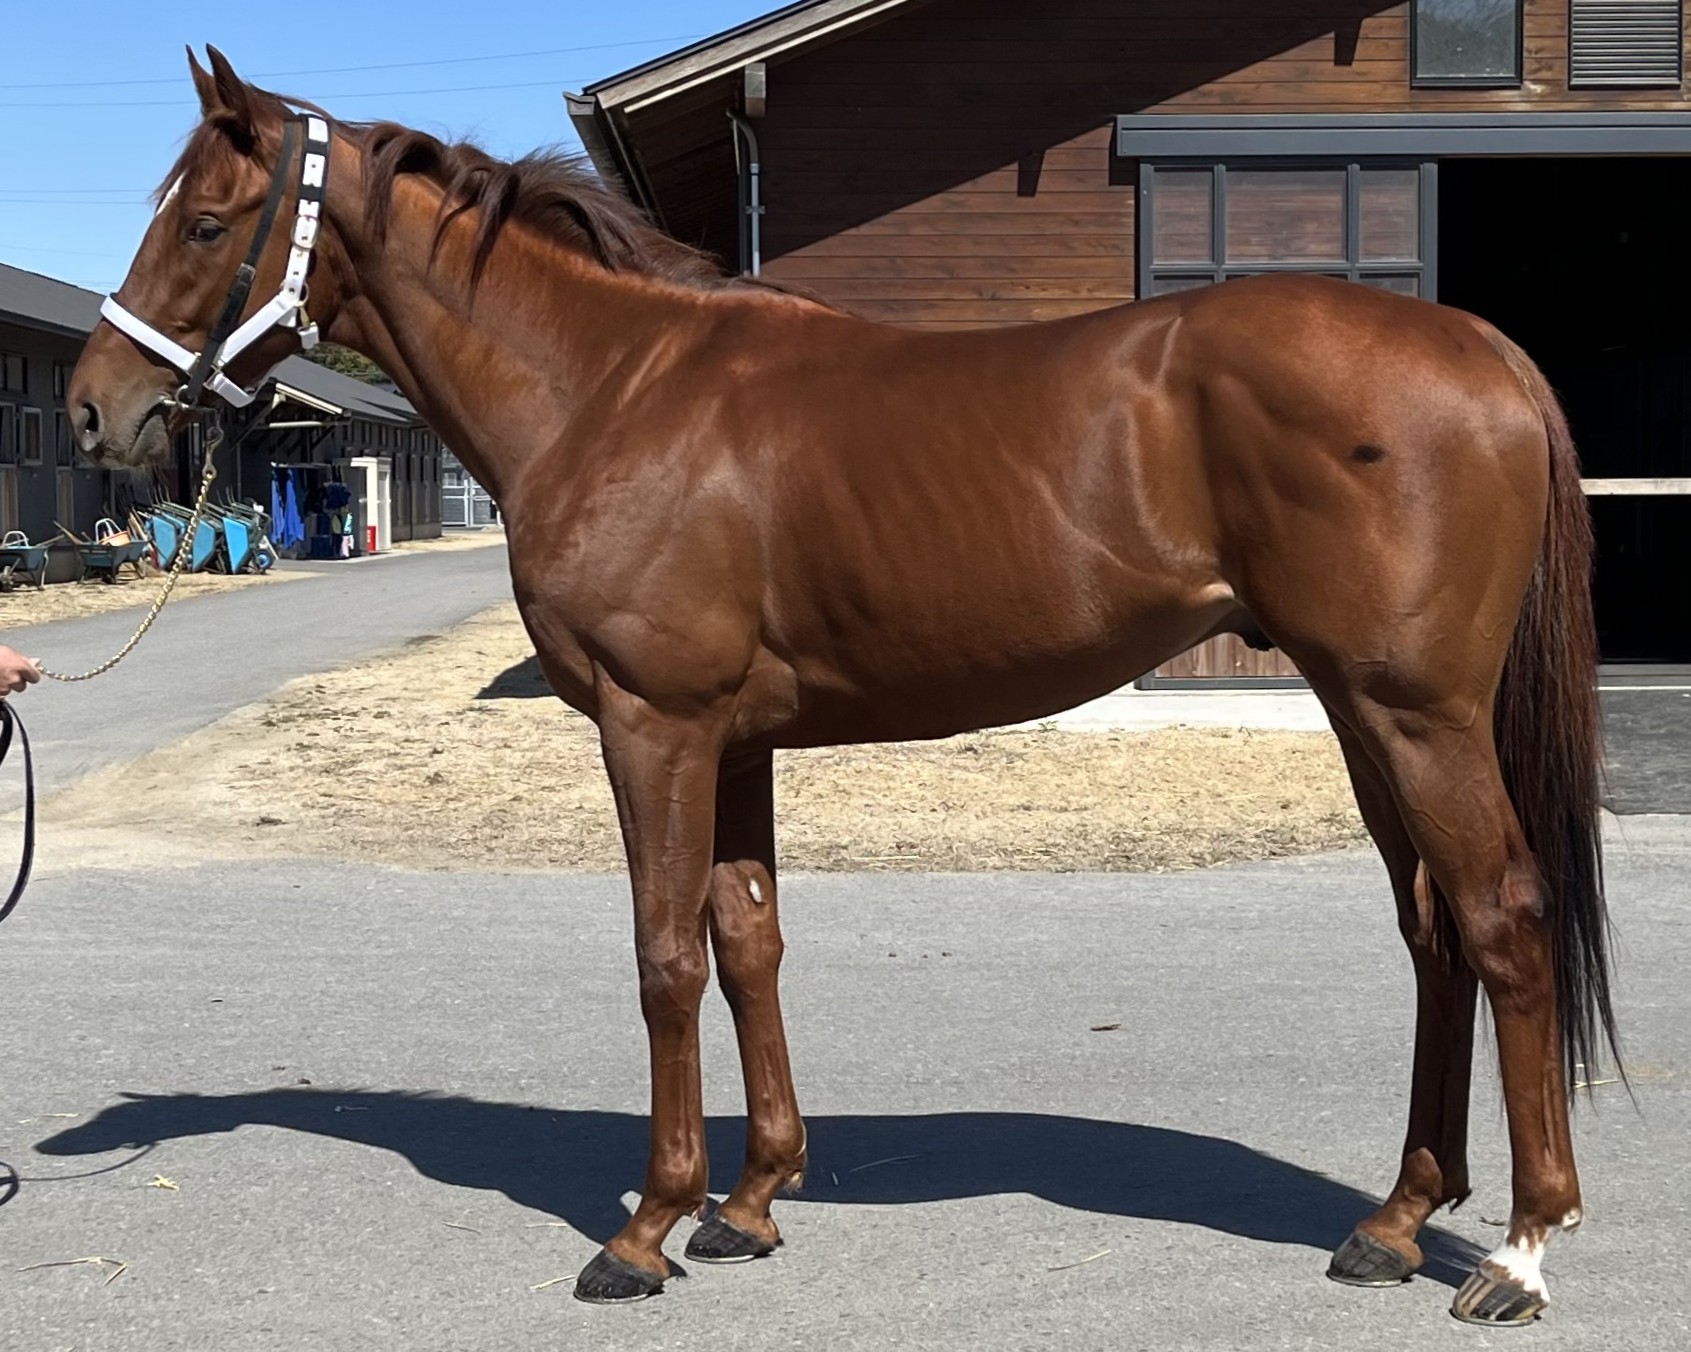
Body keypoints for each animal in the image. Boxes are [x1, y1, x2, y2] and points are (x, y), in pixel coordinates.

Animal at [67, 47, 1618, 1326]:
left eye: (204, 223)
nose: (94, 411)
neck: (612, 388)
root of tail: (1476, 348)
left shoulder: (654, 726)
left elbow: (663, 956)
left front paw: (644, 1228)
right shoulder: (734, 739)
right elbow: (746, 938)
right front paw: (751, 1201)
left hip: (1414, 713)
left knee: (1500, 917)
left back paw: (1518, 1252)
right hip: (1362, 712)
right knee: (1431, 932)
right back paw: (1394, 1219)